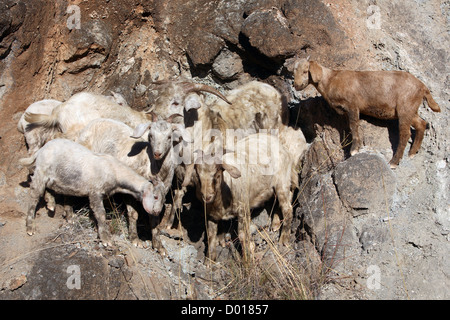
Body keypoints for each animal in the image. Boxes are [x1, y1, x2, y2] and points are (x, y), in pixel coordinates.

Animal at [19, 139, 163, 246]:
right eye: (155, 197)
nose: (156, 212)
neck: (114, 171)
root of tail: (41, 150)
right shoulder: (95, 192)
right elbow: (101, 213)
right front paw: (106, 239)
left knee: (48, 188)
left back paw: (52, 204)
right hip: (41, 172)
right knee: (34, 195)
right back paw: (30, 226)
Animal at [292, 58, 440, 168]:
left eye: (305, 71)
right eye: (294, 72)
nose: (296, 85)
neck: (330, 80)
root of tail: (423, 87)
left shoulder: (352, 105)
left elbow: (353, 126)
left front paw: (354, 150)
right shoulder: (345, 111)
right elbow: (349, 128)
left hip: (405, 108)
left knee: (405, 134)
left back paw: (394, 162)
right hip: (410, 110)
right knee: (421, 123)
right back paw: (412, 152)